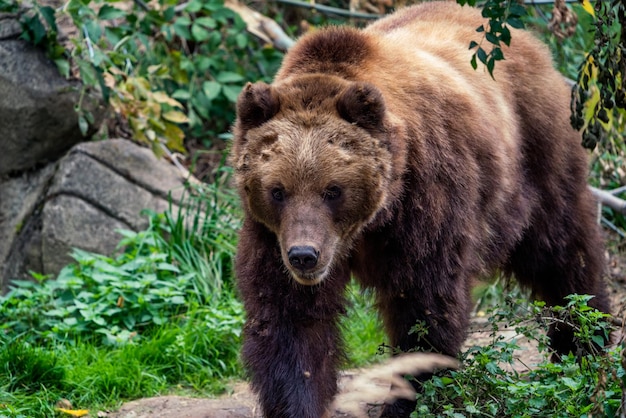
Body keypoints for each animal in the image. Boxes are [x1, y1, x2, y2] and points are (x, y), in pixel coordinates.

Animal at [230, 1, 608, 416]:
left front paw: (408, 397)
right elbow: (291, 319)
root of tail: (530, 42)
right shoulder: (272, 234)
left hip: (536, 153)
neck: (368, 224)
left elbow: (425, 306)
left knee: (561, 249)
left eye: (333, 190)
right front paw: (300, 401)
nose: (304, 256)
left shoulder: (426, 200)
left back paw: (585, 342)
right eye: (277, 190)